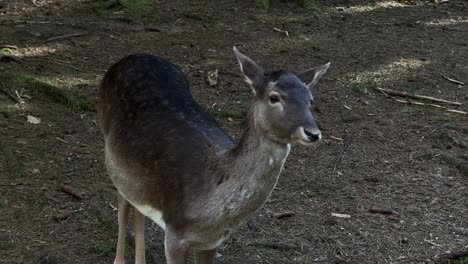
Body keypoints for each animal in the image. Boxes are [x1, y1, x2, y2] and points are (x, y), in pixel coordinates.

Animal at [99, 47, 330, 264]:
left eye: (310, 100)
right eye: (274, 97)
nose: (313, 133)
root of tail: (128, 58)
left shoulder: (211, 241)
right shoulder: (174, 233)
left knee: (136, 205)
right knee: (122, 201)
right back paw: (119, 260)